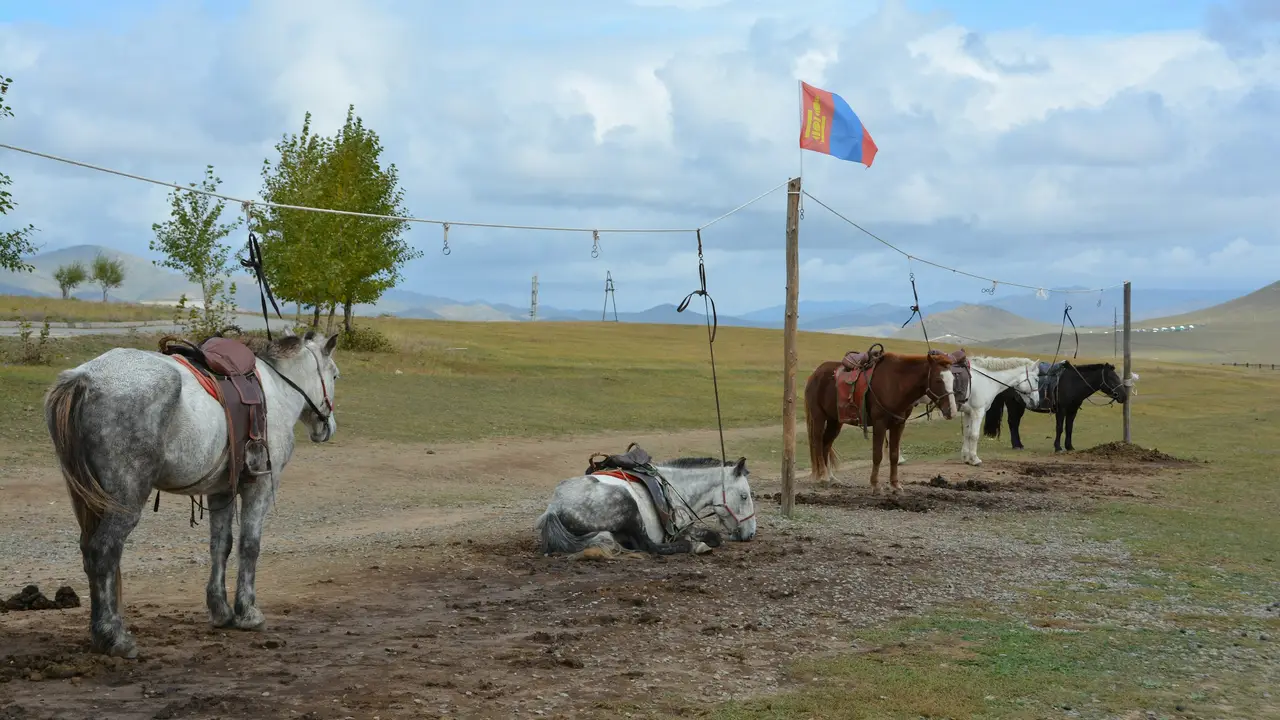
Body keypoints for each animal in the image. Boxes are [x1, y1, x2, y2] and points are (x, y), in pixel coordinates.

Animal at [44, 329, 340, 659]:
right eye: (335, 376)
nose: (327, 427)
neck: (276, 387)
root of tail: (84, 377)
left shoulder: (221, 491)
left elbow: (221, 546)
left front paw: (221, 611)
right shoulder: (261, 485)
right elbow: (249, 546)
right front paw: (248, 612)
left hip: (89, 498)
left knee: (89, 552)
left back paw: (100, 632)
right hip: (126, 499)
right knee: (103, 551)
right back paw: (114, 637)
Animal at [536, 448, 757, 559]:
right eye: (744, 496)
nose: (751, 534)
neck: (676, 486)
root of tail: (554, 508)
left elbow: (714, 535)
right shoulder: (678, 529)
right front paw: (698, 544)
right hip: (627, 504)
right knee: (648, 545)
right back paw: (690, 546)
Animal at [804, 348, 957, 495]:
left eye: (953, 379)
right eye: (938, 380)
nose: (952, 410)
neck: (896, 383)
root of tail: (815, 374)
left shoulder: (899, 424)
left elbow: (894, 455)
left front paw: (895, 485)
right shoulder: (880, 424)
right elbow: (877, 455)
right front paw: (875, 485)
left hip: (835, 421)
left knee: (826, 444)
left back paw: (830, 477)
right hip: (819, 417)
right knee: (818, 442)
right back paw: (823, 476)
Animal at [982, 361, 1128, 453]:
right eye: (1112, 378)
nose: (1123, 396)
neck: (1073, 383)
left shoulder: (1072, 411)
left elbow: (1069, 428)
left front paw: (1069, 447)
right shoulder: (1061, 410)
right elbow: (1060, 428)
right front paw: (1058, 448)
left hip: (1019, 406)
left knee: (1015, 423)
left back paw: (1019, 444)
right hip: (1013, 404)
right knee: (1013, 423)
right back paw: (1016, 445)